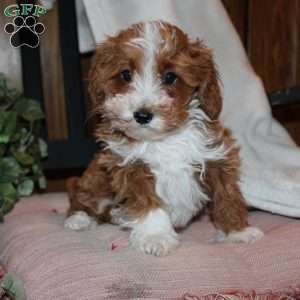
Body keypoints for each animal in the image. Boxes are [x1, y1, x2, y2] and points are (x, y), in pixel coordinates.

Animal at [63, 20, 262, 255]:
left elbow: (226, 194)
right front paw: (155, 236)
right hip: (96, 176)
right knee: (81, 193)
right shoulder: (129, 165)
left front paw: (237, 231)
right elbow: (148, 202)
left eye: (170, 77)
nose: (142, 115)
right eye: (126, 75)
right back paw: (79, 218)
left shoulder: (215, 154)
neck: (164, 139)